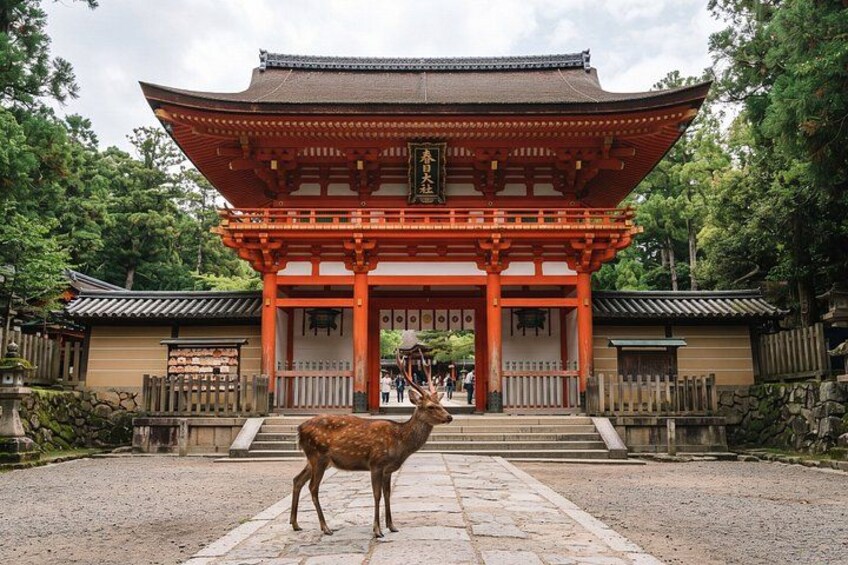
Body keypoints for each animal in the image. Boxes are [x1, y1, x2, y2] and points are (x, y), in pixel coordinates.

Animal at [290, 350, 452, 538]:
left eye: (440, 403)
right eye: (430, 406)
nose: (449, 417)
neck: (400, 443)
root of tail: (299, 429)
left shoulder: (388, 469)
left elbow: (388, 494)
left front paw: (392, 526)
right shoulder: (376, 463)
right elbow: (377, 495)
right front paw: (377, 530)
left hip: (312, 459)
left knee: (297, 480)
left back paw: (295, 524)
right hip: (318, 456)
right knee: (313, 487)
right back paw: (325, 527)